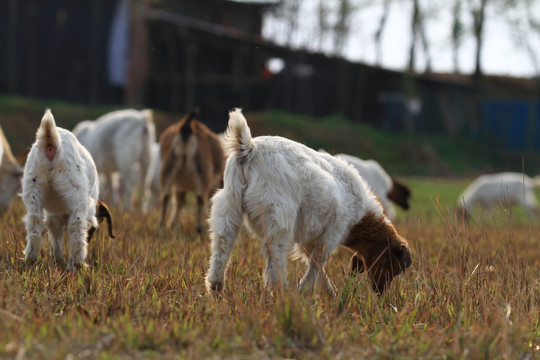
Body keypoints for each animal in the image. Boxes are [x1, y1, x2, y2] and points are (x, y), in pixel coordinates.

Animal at [22, 109, 114, 270]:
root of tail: (51, 142)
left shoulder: (54, 214)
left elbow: (55, 231)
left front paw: (58, 259)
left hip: (33, 188)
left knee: (34, 223)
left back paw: (31, 259)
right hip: (75, 193)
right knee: (76, 228)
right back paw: (78, 264)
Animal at [207, 109, 414, 296]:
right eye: (393, 264)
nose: (380, 292)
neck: (360, 213)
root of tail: (249, 148)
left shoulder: (310, 239)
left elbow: (314, 262)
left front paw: (330, 293)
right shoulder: (331, 233)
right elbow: (317, 262)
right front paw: (306, 290)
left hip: (228, 205)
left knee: (222, 243)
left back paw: (216, 288)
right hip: (278, 214)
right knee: (275, 251)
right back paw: (280, 290)